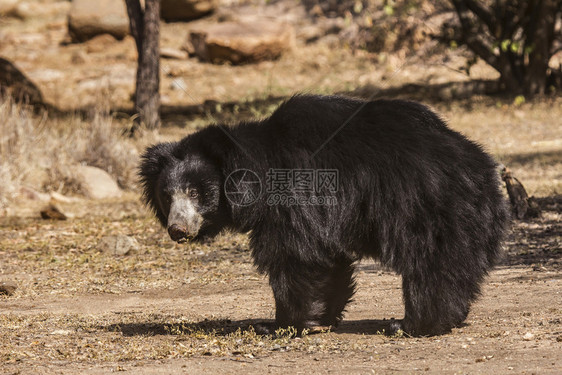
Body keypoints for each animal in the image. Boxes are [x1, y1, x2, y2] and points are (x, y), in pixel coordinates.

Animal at [139, 95, 508, 336]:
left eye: (196, 193)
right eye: (167, 195)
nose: (177, 229)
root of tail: (480, 165)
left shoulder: (293, 198)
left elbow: (296, 255)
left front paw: (280, 324)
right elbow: (327, 258)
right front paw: (317, 318)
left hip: (425, 205)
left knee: (429, 261)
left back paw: (413, 323)